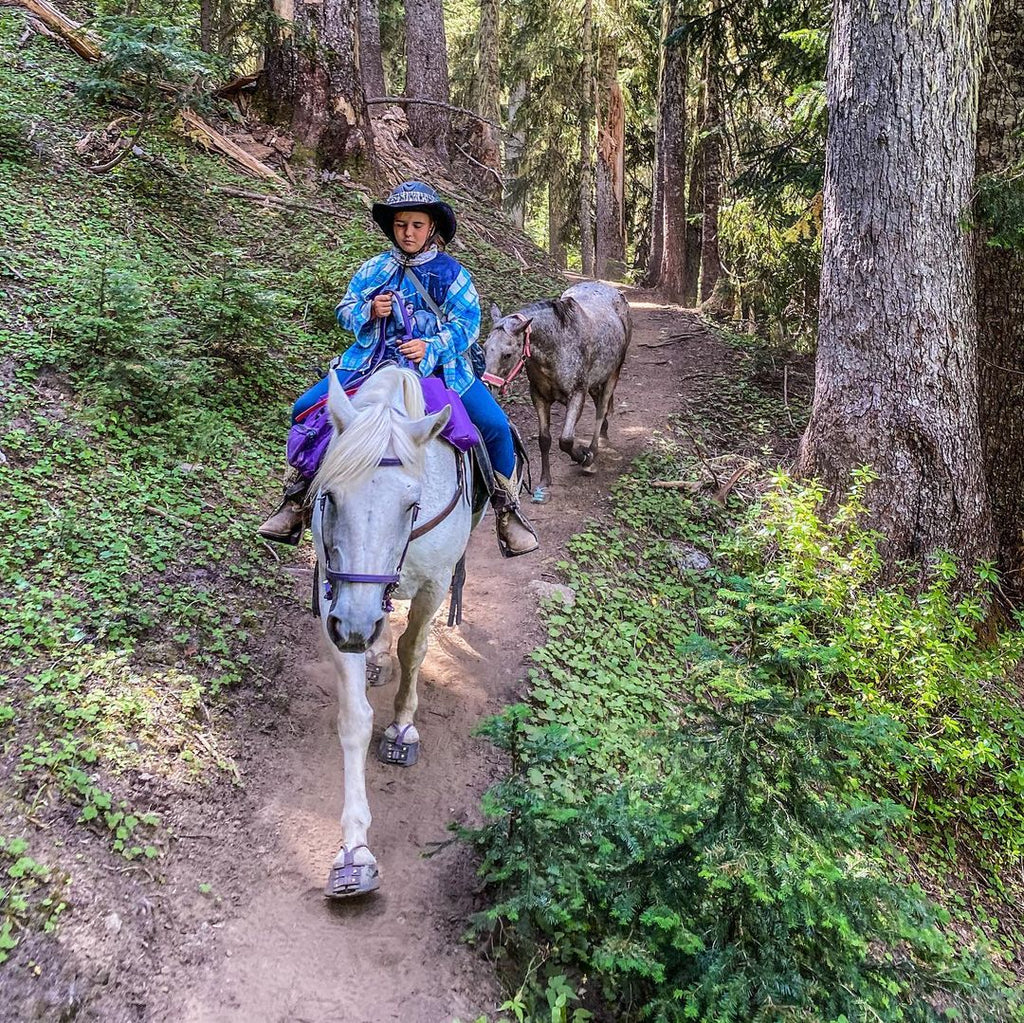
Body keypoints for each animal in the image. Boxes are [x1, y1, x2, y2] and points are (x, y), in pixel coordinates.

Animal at [307, 366, 479, 897]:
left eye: (411, 504)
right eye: (330, 496)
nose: (357, 628)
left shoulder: (435, 584)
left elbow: (415, 648)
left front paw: (402, 728)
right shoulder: (335, 599)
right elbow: (354, 718)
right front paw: (354, 852)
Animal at [481, 282, 630, 501]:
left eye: (507, 354)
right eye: (484, 348)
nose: (488, 387)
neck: (558, 345)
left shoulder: (577, 395)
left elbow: (565, 440)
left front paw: (584, 457)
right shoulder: (539, 397)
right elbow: (545, 440)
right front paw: (545, 481)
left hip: (613, 374)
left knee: (601, 409)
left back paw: (593, 450)